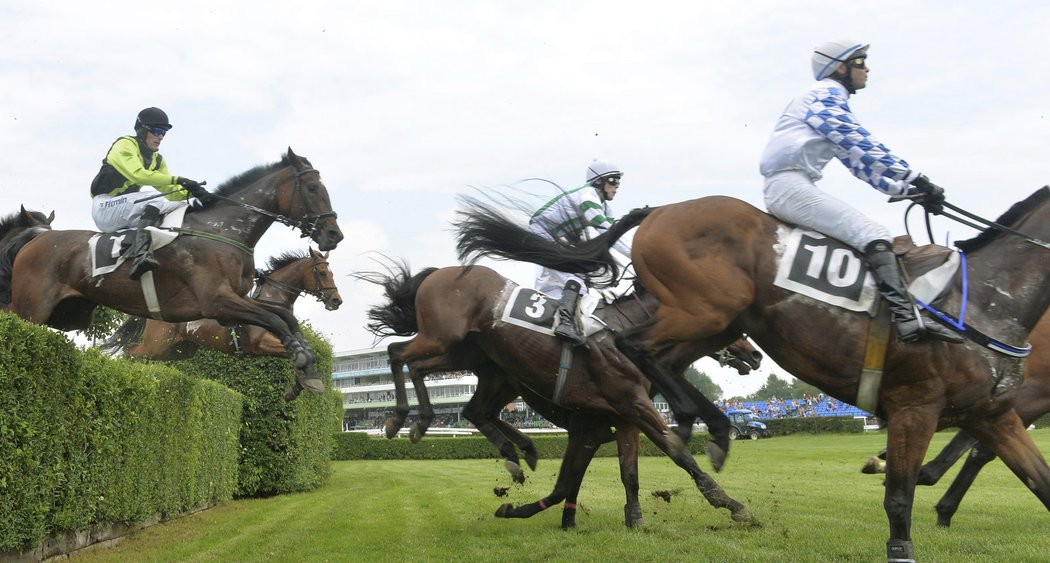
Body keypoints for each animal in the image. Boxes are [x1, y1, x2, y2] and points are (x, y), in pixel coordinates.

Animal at [1, 151, 340, 392]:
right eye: (312, 188)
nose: (334, 235)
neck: (222, 230)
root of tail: (36, 237)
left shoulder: (235, 301)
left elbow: (285, 319)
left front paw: (307, 369)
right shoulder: (218, 303)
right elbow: (276, 320)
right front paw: (302, 362)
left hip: (72, 315)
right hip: (33, 309)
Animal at [361, 262, 755, 527]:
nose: (754, 354)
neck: (625, 334)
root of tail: (437, 273)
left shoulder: (615, 421)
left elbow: (620, 475)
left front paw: (632, 519)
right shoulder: (628, 408)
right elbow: (677, 452)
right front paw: (729, 503)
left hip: (477, 361)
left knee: (465, 403)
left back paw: (516, 452)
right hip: (445, 338)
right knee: (398, 354)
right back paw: (404, 420)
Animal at [455, 191, 1050, 558]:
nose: (752, 358)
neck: (986, 302)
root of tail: (664, 208)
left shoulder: (993, 410)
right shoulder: (916, 405)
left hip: (717, 317)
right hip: (709, 311)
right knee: (626, 354)